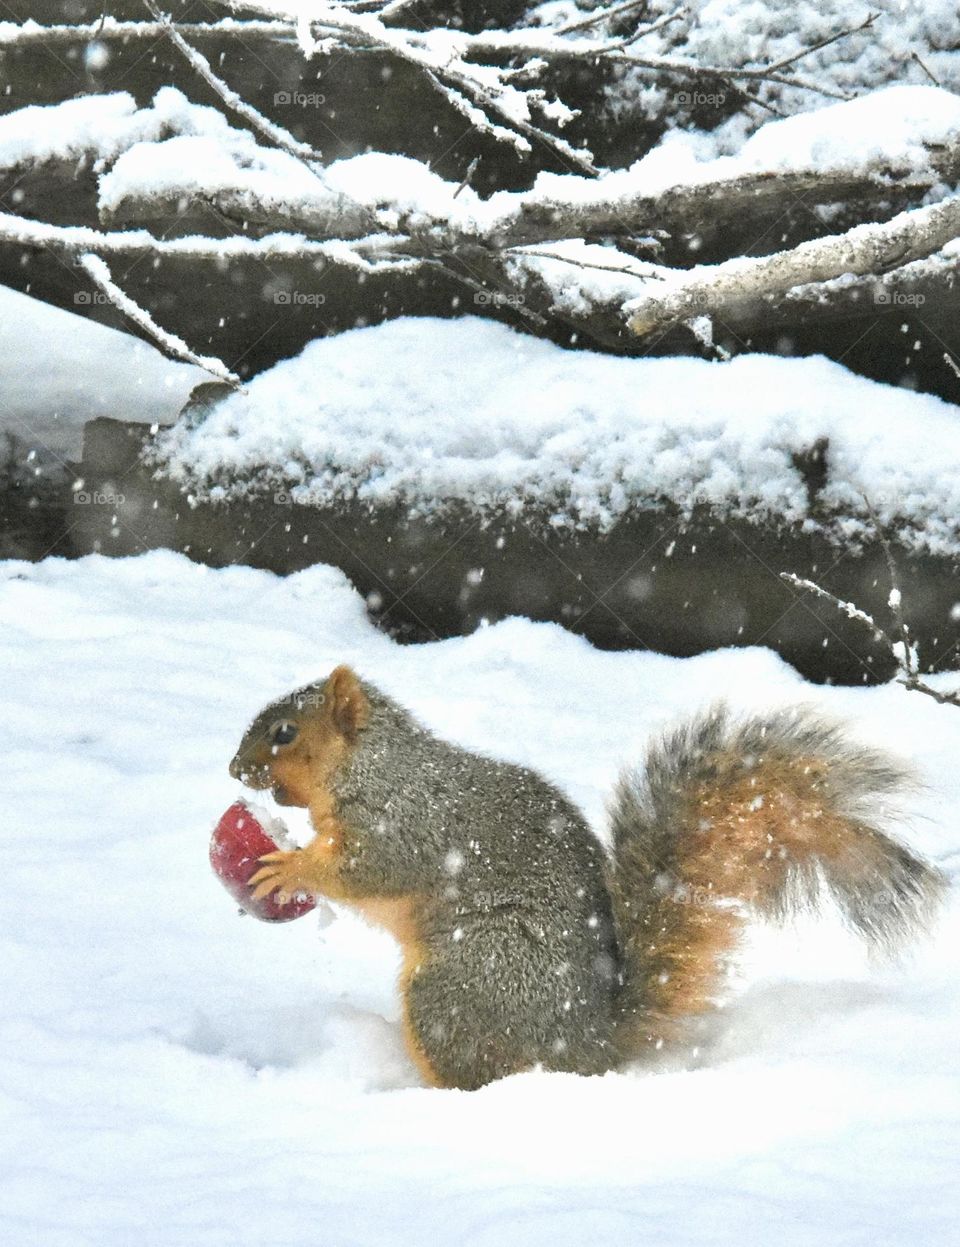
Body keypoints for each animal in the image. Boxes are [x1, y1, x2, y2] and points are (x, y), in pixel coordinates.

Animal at [229, 668, 942, 1087]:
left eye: (285, 732)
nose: (236, 770)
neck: (372, 766)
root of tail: (589, 1047)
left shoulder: (405, 822)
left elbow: (368, 868)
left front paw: (290, 865)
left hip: (461, 983)